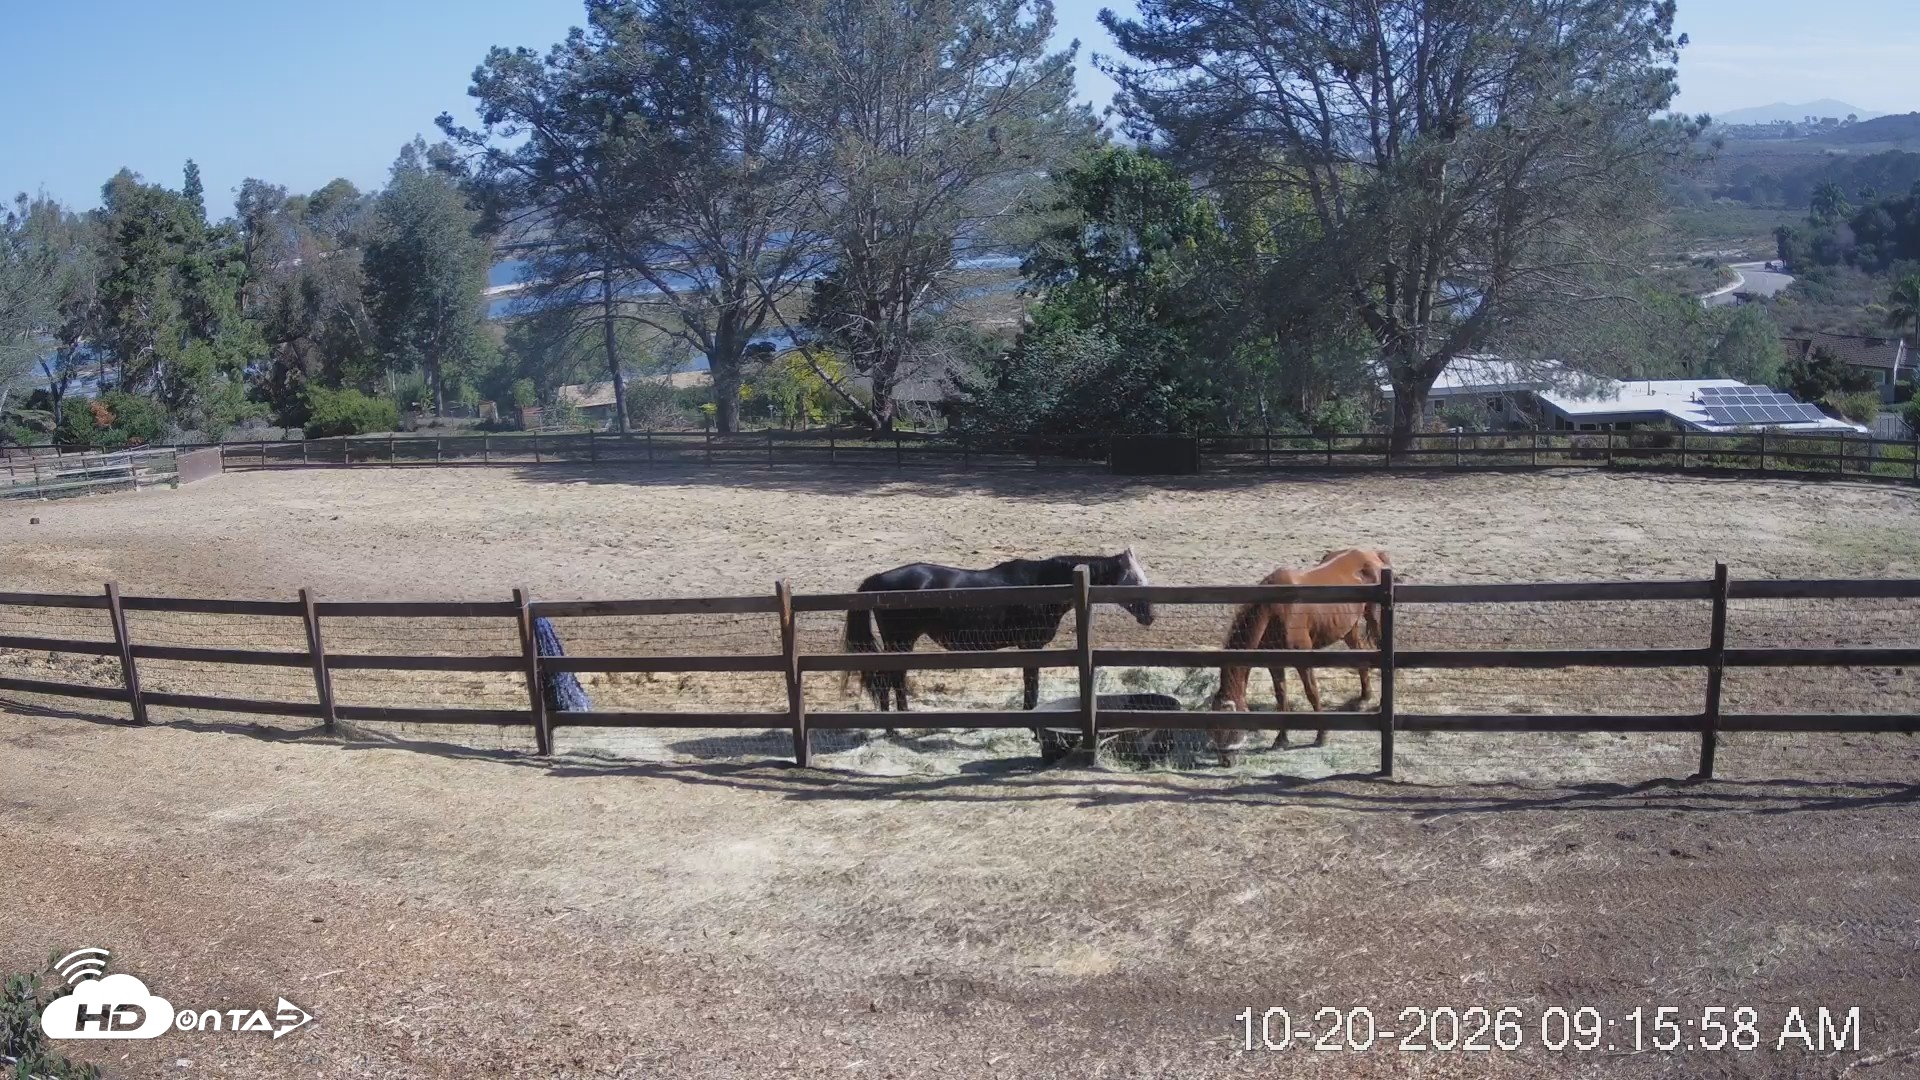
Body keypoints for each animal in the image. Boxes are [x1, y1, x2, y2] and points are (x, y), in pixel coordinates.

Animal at [843, 549, 1155, 732]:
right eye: (1135, 580)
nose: (1149, 616)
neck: (1044, 584)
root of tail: (878, 580)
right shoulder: (1031, 646)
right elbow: (1031, 682)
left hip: (902, 646)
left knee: (895, 679)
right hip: (900, 643)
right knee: (888, 680)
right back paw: (893, 728)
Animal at [1208, 548, 1390, 760]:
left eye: (1230, 726)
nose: (1225, 761)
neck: (1274, 611)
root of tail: (1373, 554)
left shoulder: (1303, 660)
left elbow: (1312, 693)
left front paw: (1322, 736)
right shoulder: (1274, 663)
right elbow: (1281, 698)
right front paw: (1281, 740)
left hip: (1374, 619)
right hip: (1347, 628)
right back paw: (1363, 699)